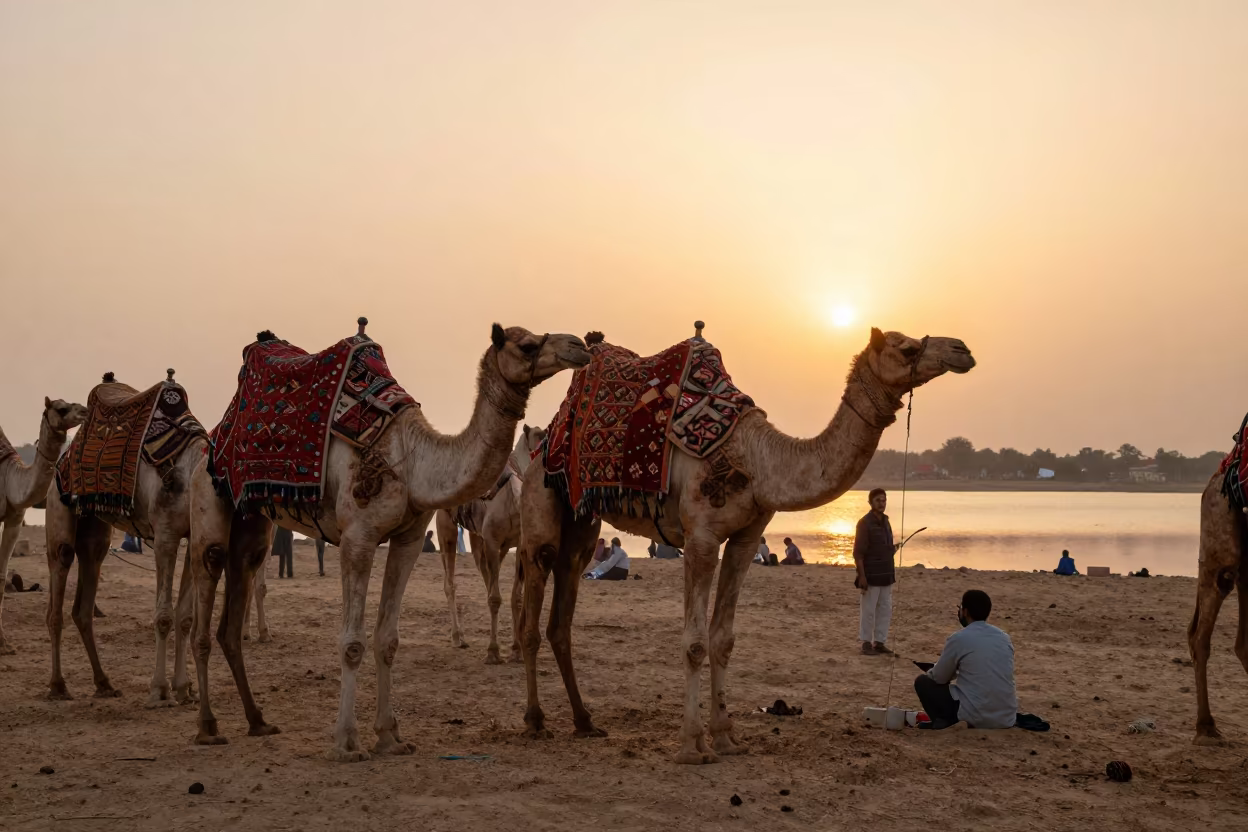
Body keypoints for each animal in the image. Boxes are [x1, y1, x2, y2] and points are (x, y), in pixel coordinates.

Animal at [0, 397, 87, 654]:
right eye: (61, 408)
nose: (85, 410)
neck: (8, 476)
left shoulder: (15, 518)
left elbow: (1, 576)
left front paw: (4, 644)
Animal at [45, 371, 207, 707]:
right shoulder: (166, 535)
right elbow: (164, 616)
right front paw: (160, 691)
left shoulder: (190, 539)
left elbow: (185, 617)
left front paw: (184, 688)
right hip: (58, 509)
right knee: (57, 598)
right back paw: (58, 686)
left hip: (94, 532)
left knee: (83, 606)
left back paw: (104, 683)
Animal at [434, 423, 546, 663]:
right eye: (538, 439)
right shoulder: (493, 542)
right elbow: (495, 598)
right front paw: (493, 651)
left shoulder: (517, 545)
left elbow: (516, 597)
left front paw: (516, 650)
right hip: (446, 526)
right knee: (450, 583)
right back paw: (458, 637)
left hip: (478, 539)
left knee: (485, 575)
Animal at [518, 326, 975, 763]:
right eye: (907, 347)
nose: (962, 349)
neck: (758, 462)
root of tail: (546, 440)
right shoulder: (700, 537)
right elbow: (695, 642)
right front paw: (692, 746)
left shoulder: (745, 538)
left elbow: (723, 638)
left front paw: (725, 739)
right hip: (541, 498)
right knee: (534, 603)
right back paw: (535, 721)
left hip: (582, 522)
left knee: (563, 610)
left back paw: (584, 722)